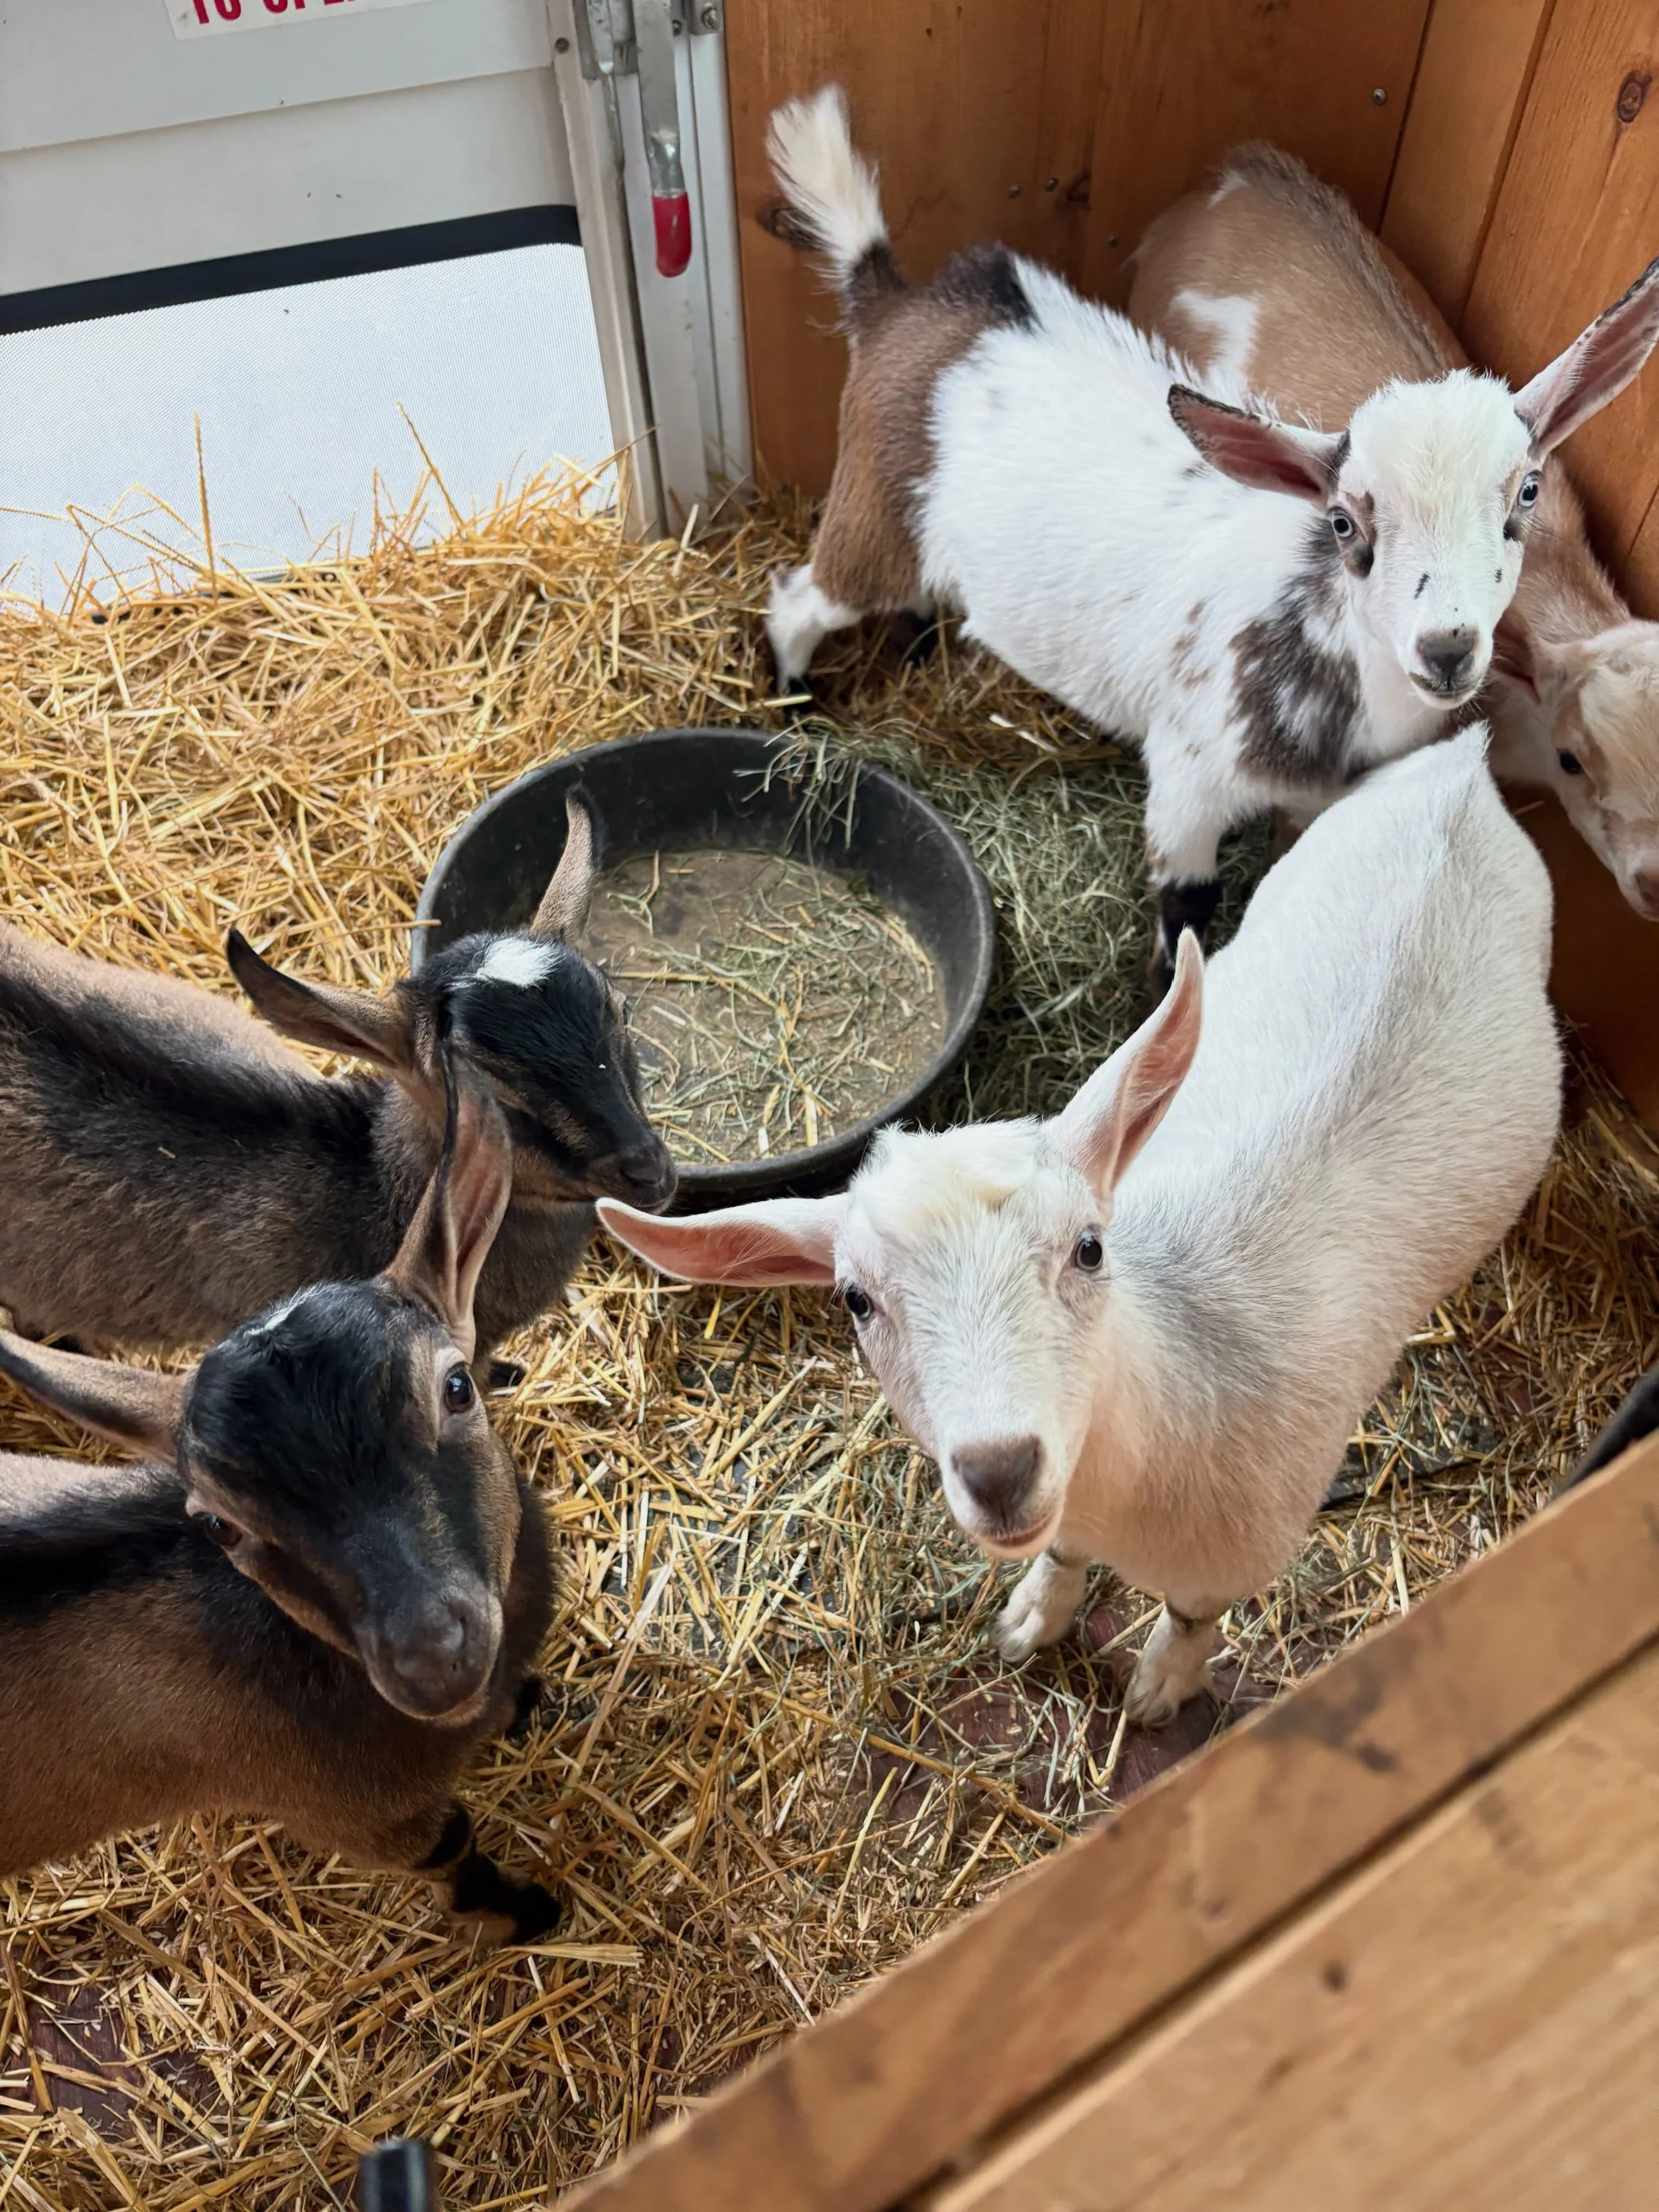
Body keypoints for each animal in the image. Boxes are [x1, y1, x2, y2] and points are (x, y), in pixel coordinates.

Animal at [0, 1054, 562, 1938]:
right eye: (218, 1526)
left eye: (457, 1387)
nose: (432, 1662)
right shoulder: (353, 1812)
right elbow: (454, 1849)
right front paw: (529, 1912)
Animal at [597, 730, 1561, 1724]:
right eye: (855, 1300)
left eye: (1090, 1248)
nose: (999, 1471)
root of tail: (1462, 766)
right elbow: (1060, 1558)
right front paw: (1033, 1618)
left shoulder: (1239, 1554)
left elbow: (1190, 1614)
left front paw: (1163, 1686)